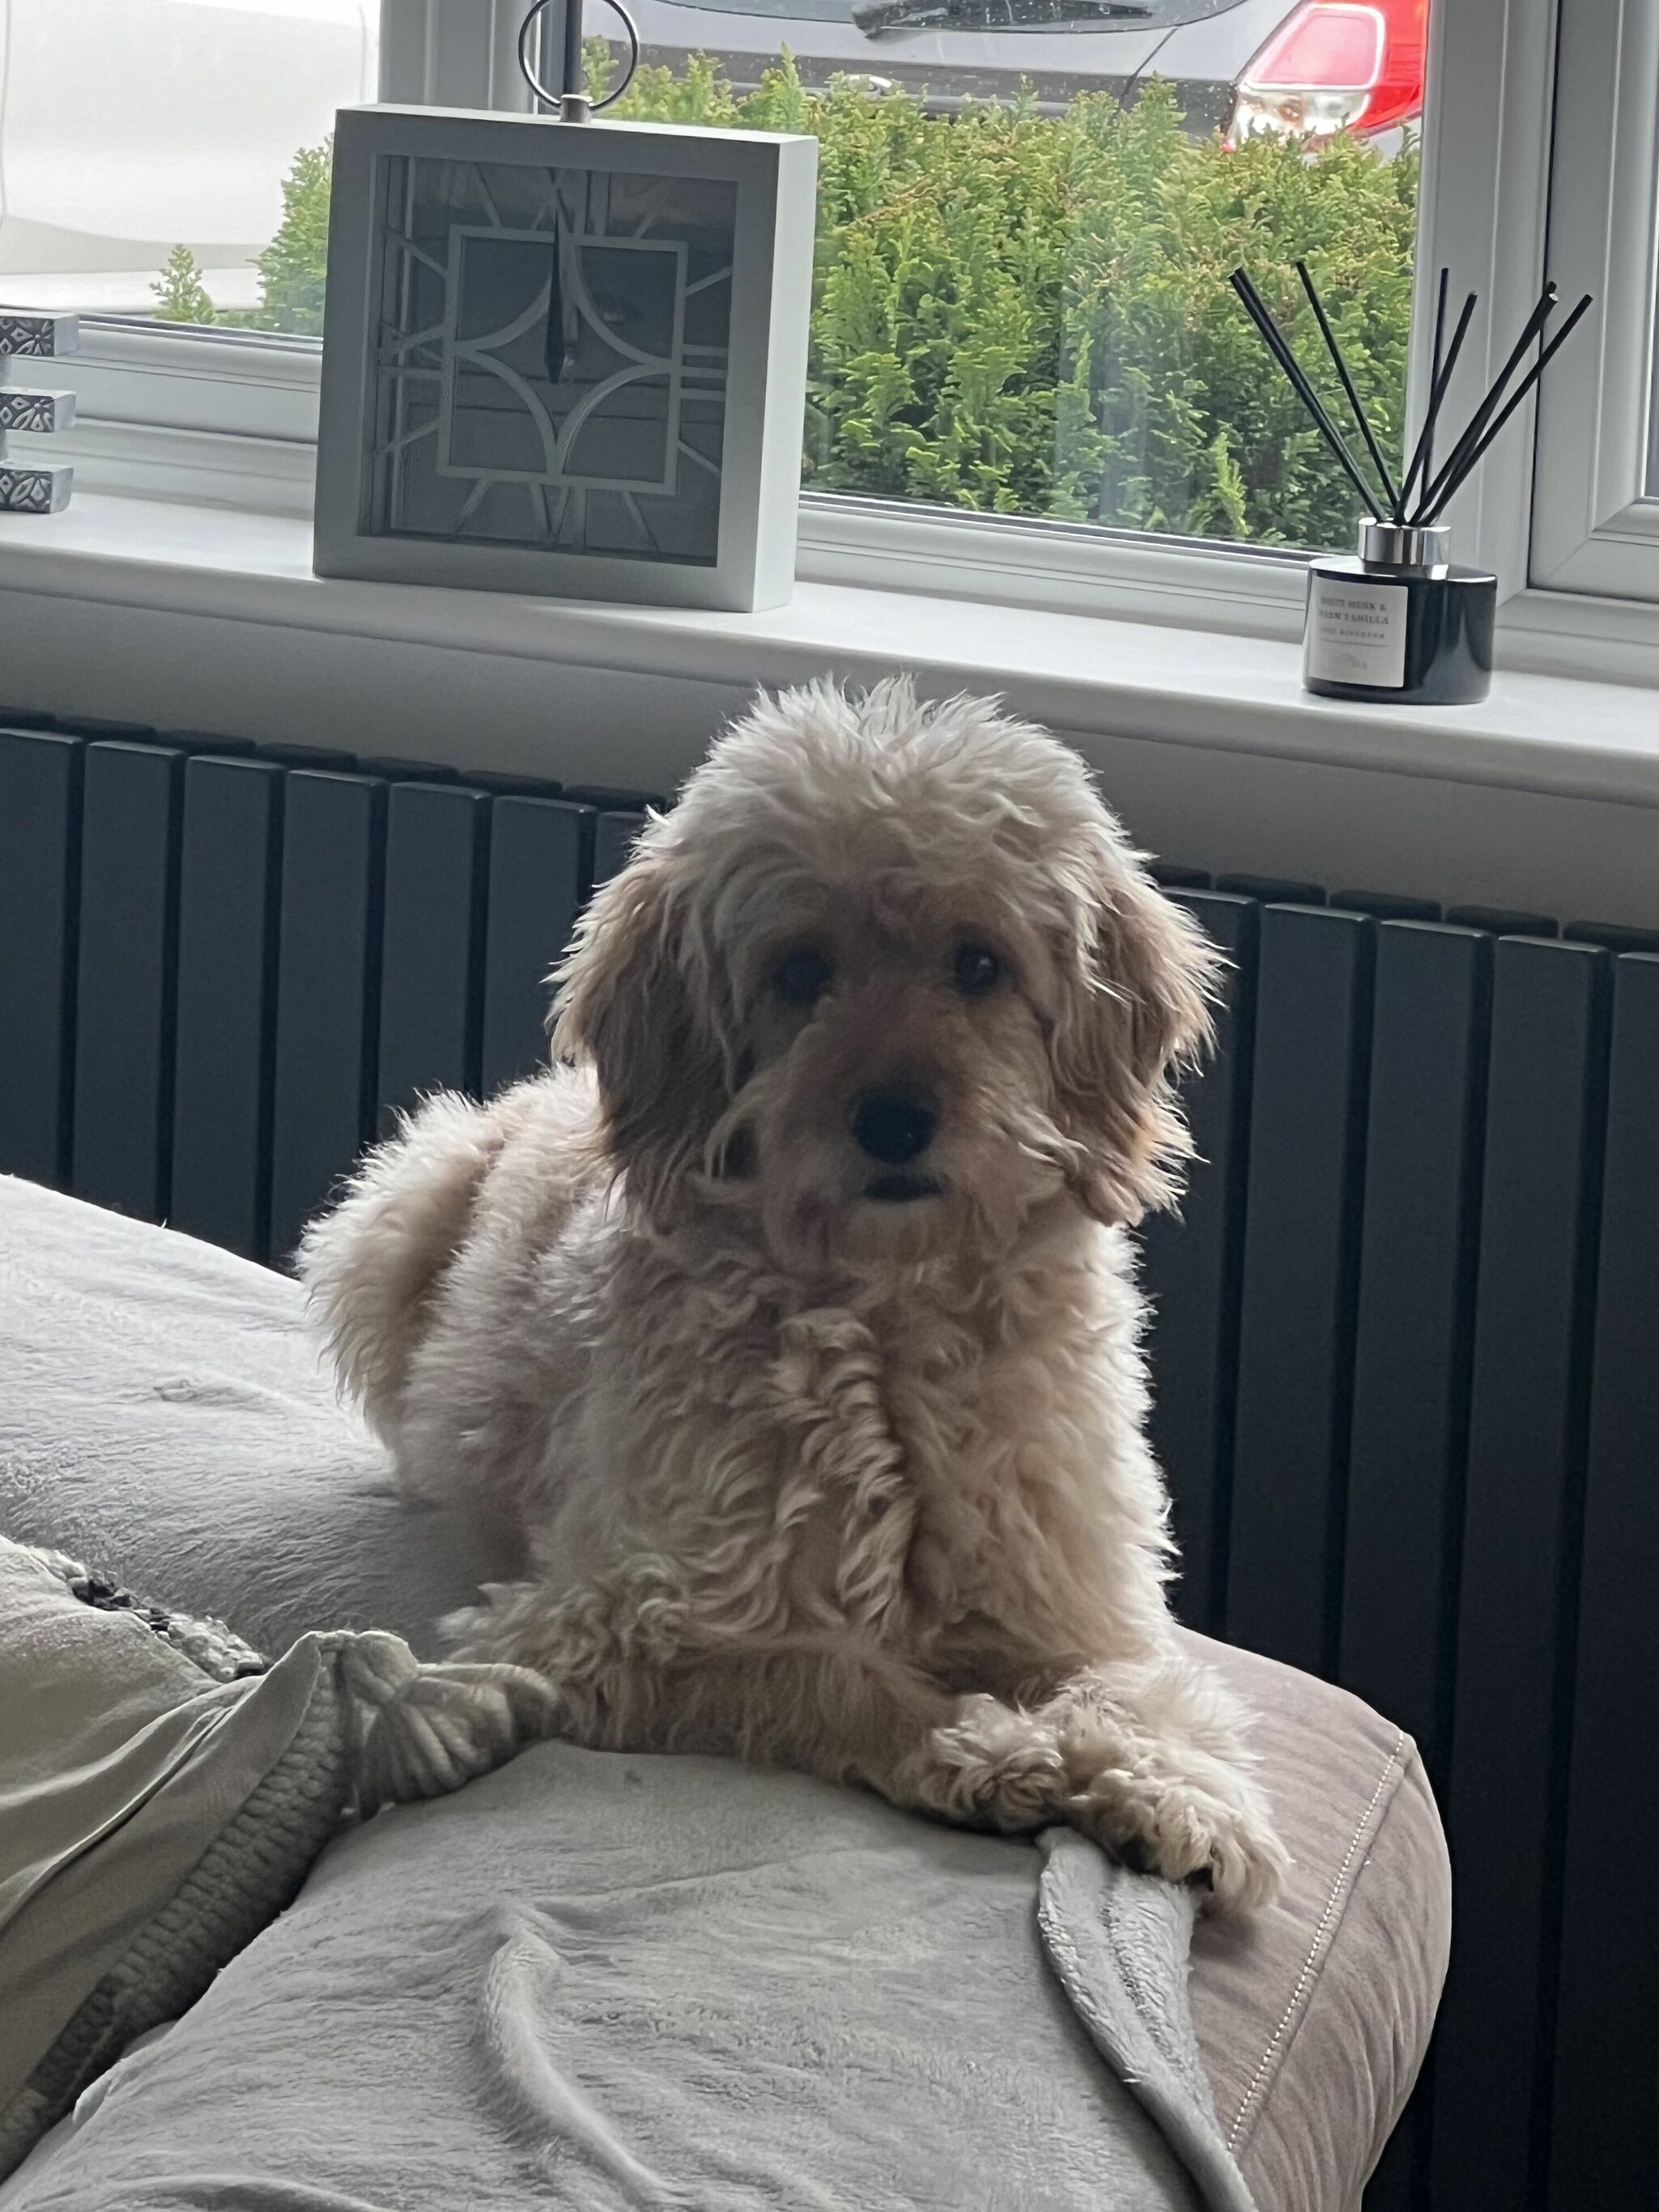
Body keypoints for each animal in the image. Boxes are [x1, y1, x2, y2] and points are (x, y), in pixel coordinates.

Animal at [300, 680, 1287, 1910]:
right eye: (801, 972)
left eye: (978, 963)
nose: (895, 1119)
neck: (891, 1320)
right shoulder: (608, 1622)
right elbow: (837, 1674)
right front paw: (989, 1752)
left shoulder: (1072, 1601)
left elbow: (1140, 1684)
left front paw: (1172, 1783)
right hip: (395, 1210)